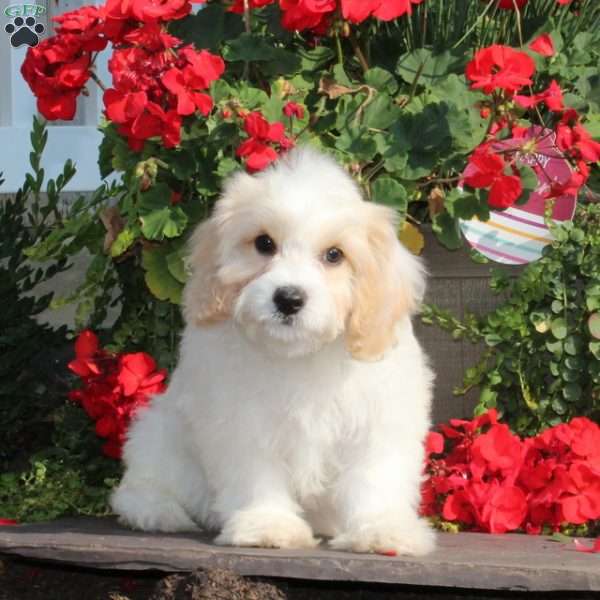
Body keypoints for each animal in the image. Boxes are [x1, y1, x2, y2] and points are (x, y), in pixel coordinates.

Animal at [110, 146, 434, 556]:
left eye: (334, 255)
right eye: (264, 244)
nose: (289, 298)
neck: (299, 355)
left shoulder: (378, 418)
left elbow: (375, 476)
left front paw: (381, 530)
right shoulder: (241, 422)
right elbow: (256, 475)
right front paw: (267, 526)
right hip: (159, 428)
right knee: (142, 482)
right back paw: (158, 510)